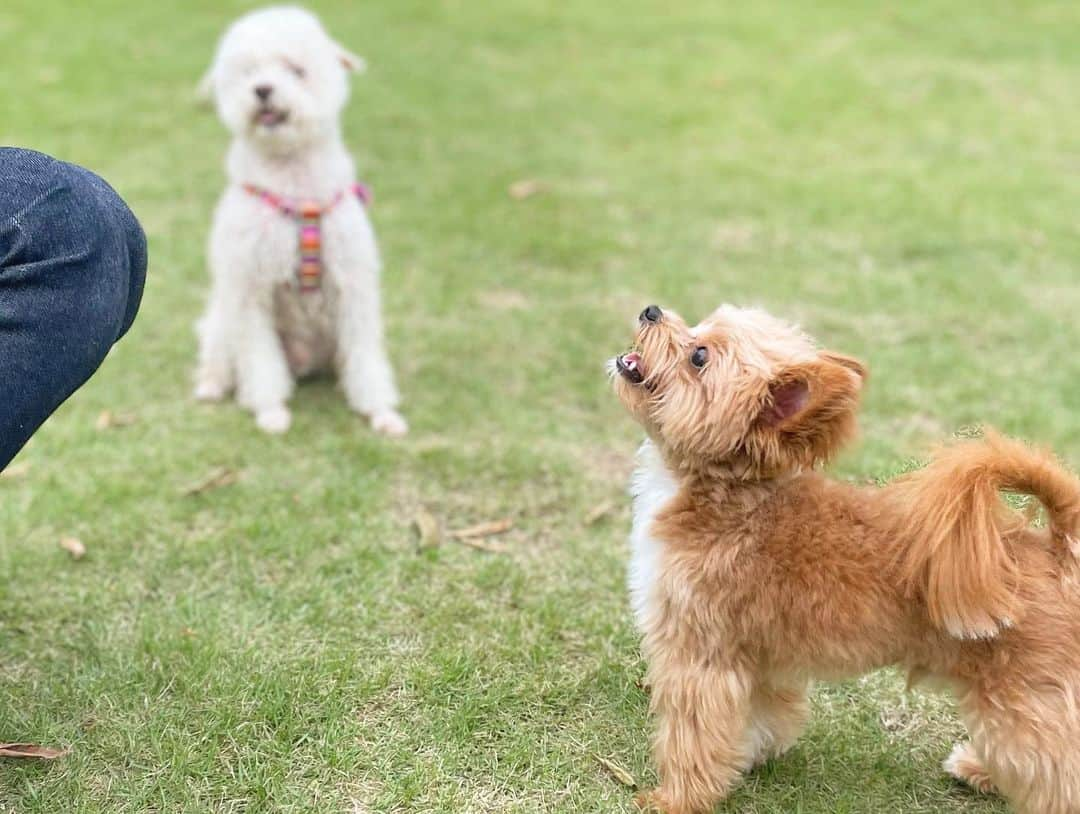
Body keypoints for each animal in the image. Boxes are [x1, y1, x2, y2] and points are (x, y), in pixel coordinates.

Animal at [194, 6, 406, 433]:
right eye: (247, 71)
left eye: (296, 70)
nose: (262, 89)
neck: (296, 190)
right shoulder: (250, 289)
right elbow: (260, 362)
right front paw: (270, 411)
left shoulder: (353, 286)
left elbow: (365, 359)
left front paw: (381, 413)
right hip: (223, 318)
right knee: (220, 359)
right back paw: (212, 386)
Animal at [613, 302, 1080, 811]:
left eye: (699, 355)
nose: (651, 310)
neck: (722, 493)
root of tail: (1056, 549)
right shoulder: (758, 657)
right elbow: (765, 716)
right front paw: (751, 756)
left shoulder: (700, 657)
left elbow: (692, 739)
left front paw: (673, 799)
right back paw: (980, 770)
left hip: (1022, 699)